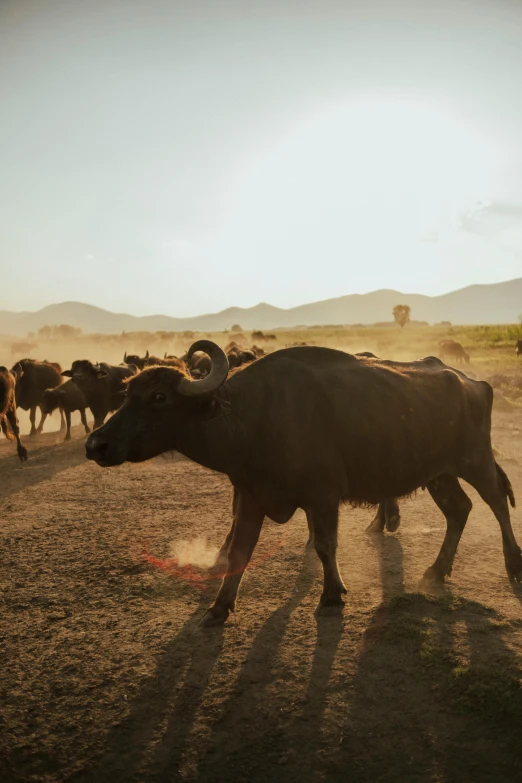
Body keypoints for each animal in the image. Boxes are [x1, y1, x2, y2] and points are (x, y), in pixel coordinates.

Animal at [84, 340, 516, 628]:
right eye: (128, 392)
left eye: (159, 396)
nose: (95, 444)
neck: (253, 418)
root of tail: (472, 382)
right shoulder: (250, 497)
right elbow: (239, 551)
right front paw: (219, 607)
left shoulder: (323, 497)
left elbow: (325, 546)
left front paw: (332, 595)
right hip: (438, 474)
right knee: (460, 510)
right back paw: (437, 571)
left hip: (474, 460)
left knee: (496, 502)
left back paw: (514, 563)